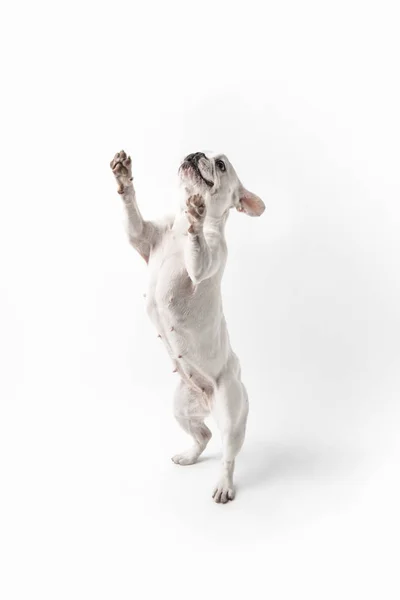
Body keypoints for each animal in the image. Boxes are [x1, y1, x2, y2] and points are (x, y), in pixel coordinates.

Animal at [110, 149, 266, 502]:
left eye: (221, 165)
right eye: (201, 152)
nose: (196, 155)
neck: (179, 224)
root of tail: (208, 401)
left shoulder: (207, 260)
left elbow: (198, 250)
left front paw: (198, 215)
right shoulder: (142, 237)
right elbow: (132, 217)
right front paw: (123, 175)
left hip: (231, 413)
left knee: (228, 454)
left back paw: (224, 485)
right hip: (181, 407)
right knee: (203, 435)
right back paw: (189, 456)